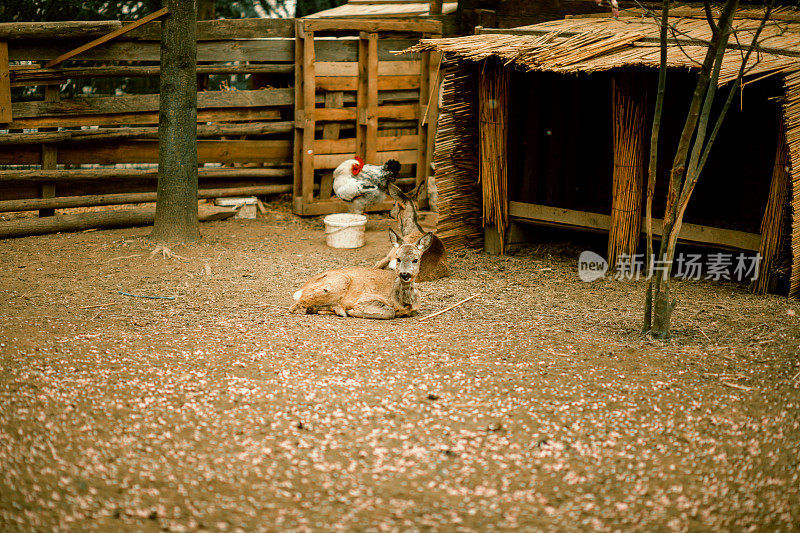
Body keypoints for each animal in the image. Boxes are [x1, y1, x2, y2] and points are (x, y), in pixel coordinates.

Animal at [290, 230, 434, 320]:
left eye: (415, 259)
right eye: (398, 258)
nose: (405, 274)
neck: (402, 301)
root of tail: (300, 290)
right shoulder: (365, 297)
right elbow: (390, 312)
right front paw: (353, 311)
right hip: (339, 282)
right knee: (296, 307)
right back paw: (340, 310)